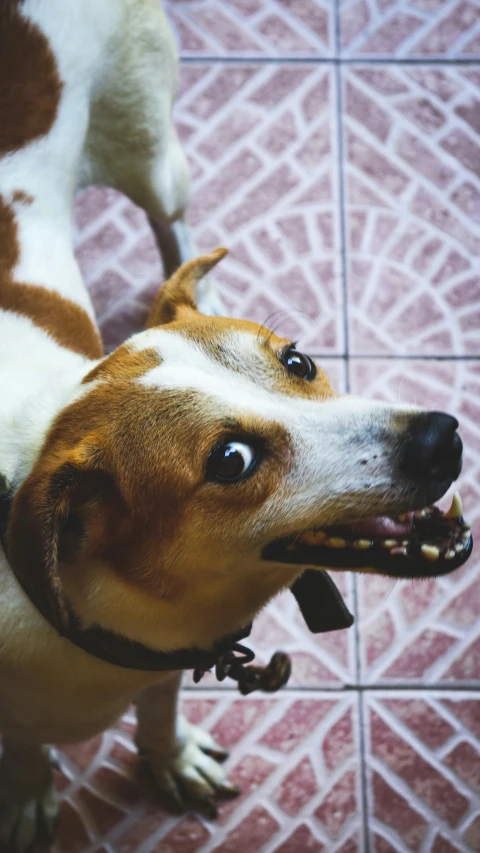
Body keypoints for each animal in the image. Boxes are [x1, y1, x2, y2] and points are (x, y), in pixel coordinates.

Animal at [0, 1, 472, 852]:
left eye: (300, 359)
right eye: (231, 458)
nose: (442, 436)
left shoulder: (161, 665)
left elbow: (158, 719)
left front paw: (170, 757)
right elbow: (25, 748)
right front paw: (27, 793)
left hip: (156, 156)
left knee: (172, 222)